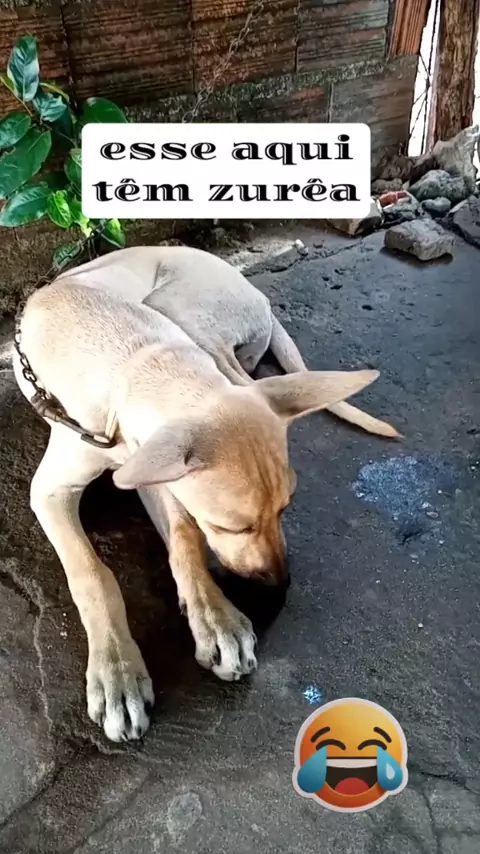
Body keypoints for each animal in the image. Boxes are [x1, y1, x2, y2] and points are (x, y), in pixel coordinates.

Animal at [13, 245, 398, 743]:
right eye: (231, 525)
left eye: (286, 508)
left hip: (185, 314)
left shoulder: (151, 471)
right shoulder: (55, 489)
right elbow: (92, 573)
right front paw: (117, 672)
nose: (279, 585)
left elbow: (184, 537)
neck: (137, 361)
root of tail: (257, 294)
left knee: (244, 379)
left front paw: (215, 619)